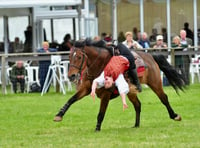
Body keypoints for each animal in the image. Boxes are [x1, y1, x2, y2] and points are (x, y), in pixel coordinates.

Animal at [53, 39, 186, 131]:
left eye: (80, 57)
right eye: (69, 56)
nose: (71, 76)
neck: (100, 66)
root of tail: (150, 56)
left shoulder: (106, 95)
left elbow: (101, 113)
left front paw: (97, 129)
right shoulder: (85, 89)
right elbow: (71, 99)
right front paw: (59, 115)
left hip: (155, 83)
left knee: (164, 98)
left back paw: (175, 115)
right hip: (131, 91)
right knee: (138, 105)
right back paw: (136, 125)